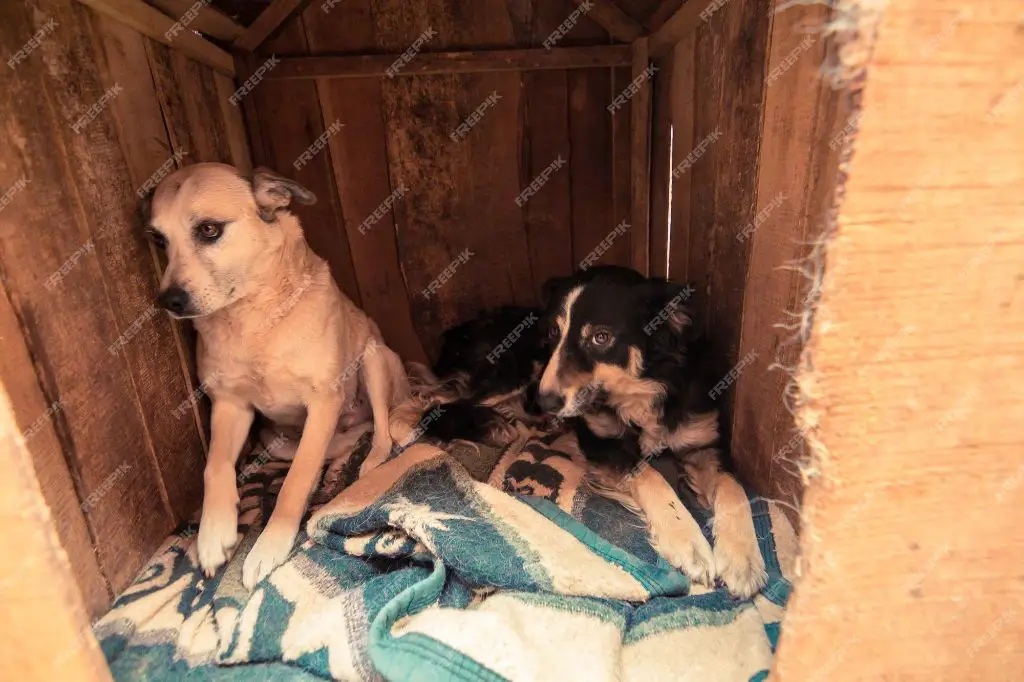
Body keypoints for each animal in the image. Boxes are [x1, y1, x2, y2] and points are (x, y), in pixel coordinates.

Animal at [145, 161, 407, 585]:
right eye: (158, 239)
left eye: (208, 229)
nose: (169, 301)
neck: (253, 317)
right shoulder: (229, 405)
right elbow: (214, 466)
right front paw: (212, 533)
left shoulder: (324, 399)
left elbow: (295, 479)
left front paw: (270, 543)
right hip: (275, 439)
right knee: (331, 444)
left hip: (372, 359)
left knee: (380, 432)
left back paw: (367, 466)